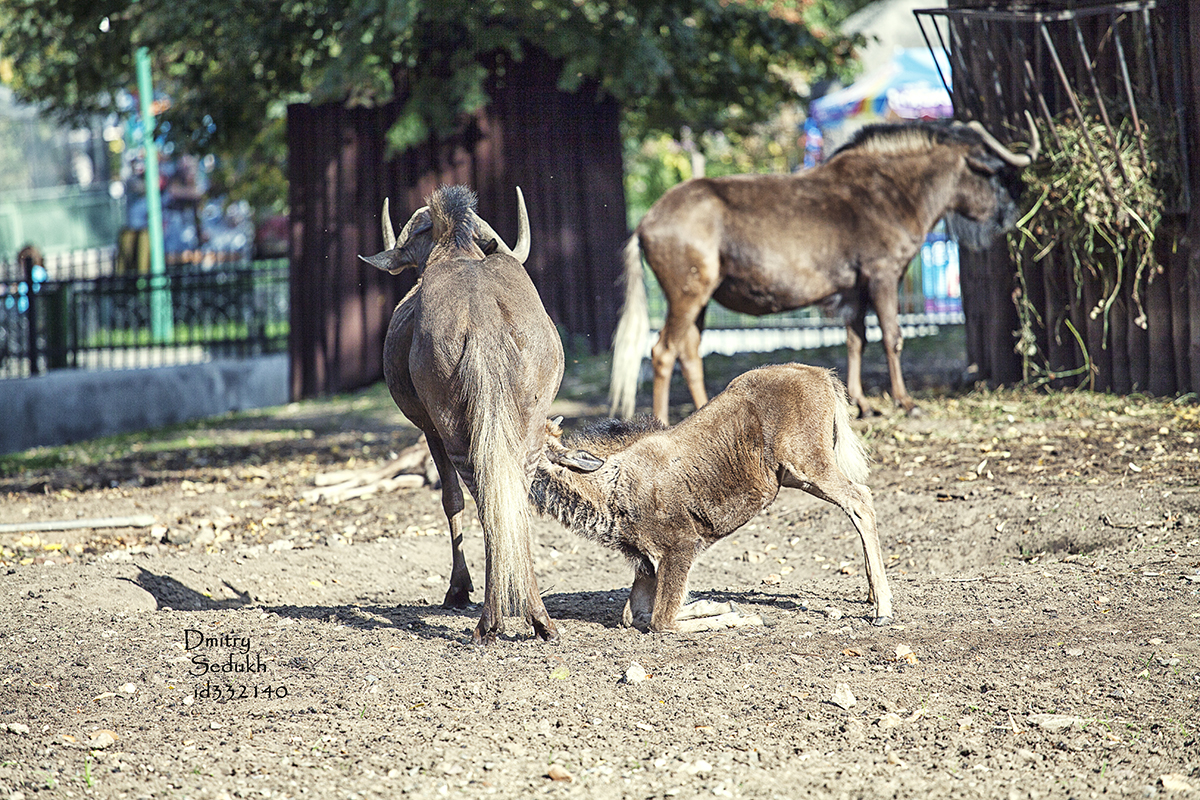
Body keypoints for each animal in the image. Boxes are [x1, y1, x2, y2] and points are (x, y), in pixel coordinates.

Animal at [535, 362, 892, 633]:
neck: (611, 487)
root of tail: (821, 375)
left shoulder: (679, 548)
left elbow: (661, 620)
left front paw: (743, 616)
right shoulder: (647, 564)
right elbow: (635, 615)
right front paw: (722, 605)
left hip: (809, 465)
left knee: (859, 498)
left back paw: (883, 610)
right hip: (797, 477)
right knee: (859, 500)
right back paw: (871, 597)